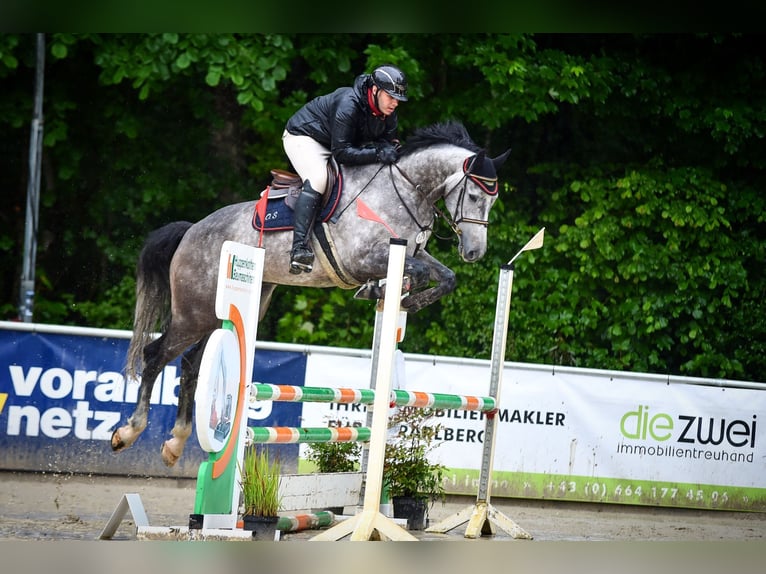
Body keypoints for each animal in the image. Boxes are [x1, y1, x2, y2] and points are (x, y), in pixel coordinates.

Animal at [111, 121, 510, 468]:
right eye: (474, 195)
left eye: (493, 201)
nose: (474, 252)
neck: (404, 189)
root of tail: (192, 230)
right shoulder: (365, 257)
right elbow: (422, 272)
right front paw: (389, 294)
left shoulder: (412, 253)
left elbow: (445, 277)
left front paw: (399, 298)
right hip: (194, 311)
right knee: (156, 355)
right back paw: (128, 433)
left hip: (225, 309)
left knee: (192, 364)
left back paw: (175, 443)